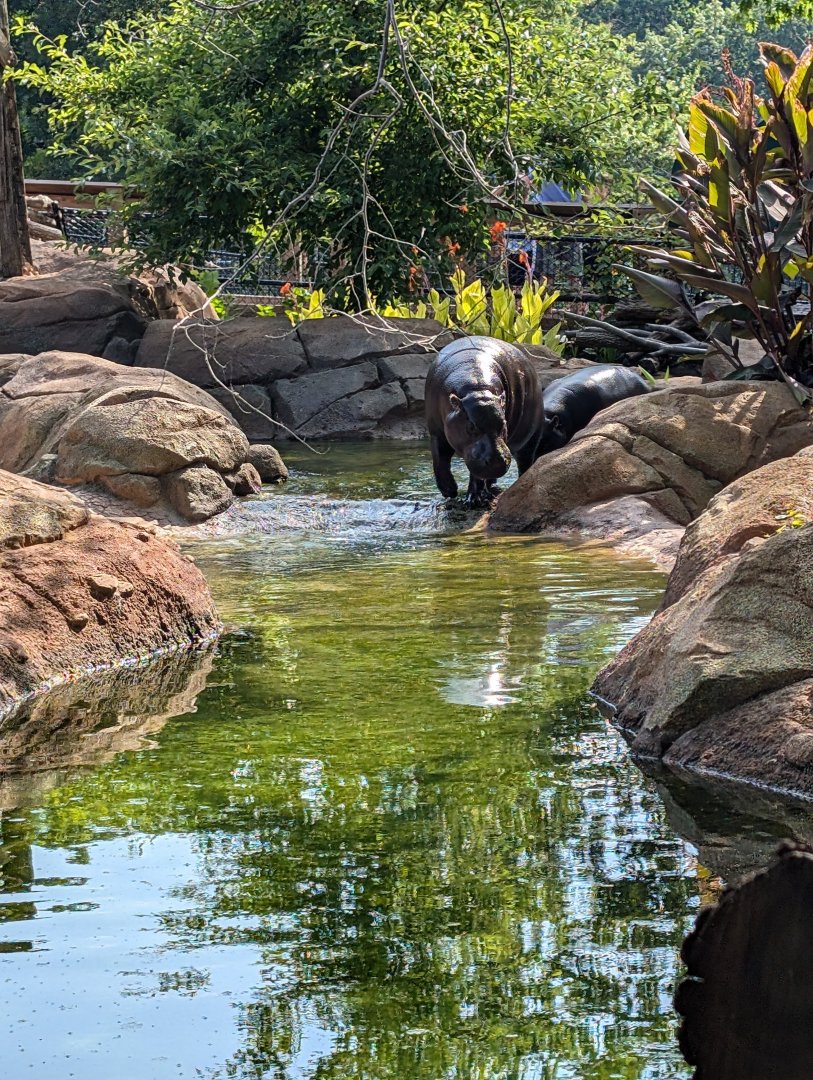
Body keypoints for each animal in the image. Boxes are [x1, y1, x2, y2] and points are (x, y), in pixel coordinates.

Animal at [425, 336, 544, 507]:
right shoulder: (436, 432)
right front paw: (449, 491)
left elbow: (476, 475)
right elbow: (439, 460)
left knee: (525, 462)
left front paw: (473, 500)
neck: (476, 387)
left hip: (530, 439)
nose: (497, 462)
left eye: (504, 424)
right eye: (471, 426)